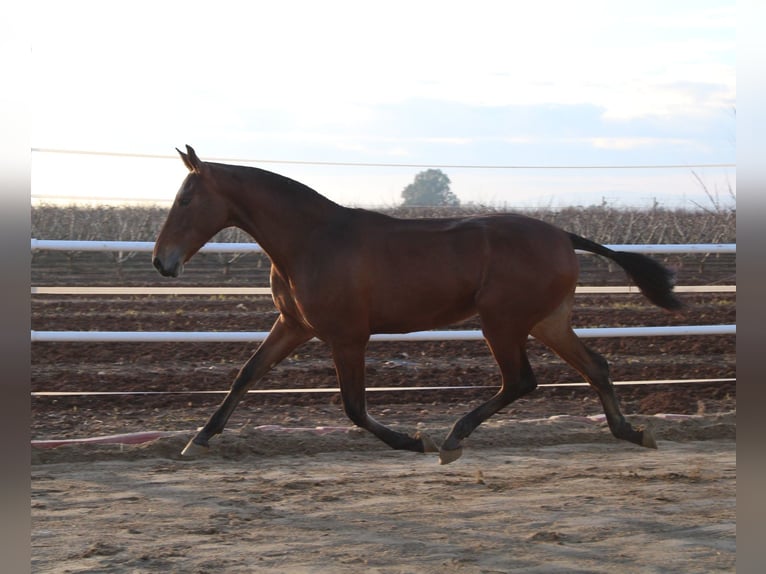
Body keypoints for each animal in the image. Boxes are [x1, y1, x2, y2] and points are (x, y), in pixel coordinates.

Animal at [153, 146, 680, 466]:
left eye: (185, 200)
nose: (162, 261)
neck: (311, 240)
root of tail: (563, 235)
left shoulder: (348, 336)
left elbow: (354, 407)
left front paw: (414, 440)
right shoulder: (293, 325)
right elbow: (246, 374)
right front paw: (197, 438)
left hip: (502, 322)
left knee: (521, 380)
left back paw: (452, 439)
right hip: (546, 321)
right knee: (596, 366)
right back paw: (632, 432)